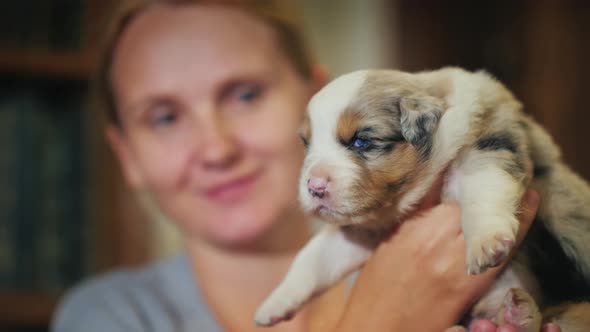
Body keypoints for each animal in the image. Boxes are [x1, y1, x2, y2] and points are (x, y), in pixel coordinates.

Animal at [256, 67, 590, 330]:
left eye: (361, 141)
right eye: (306, 143)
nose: (313, 187)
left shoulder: (489, 144)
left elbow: (482, 187)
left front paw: (485, 242)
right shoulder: (361, 232)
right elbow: (314, 257)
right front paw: (274, 303)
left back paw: (520, 312)